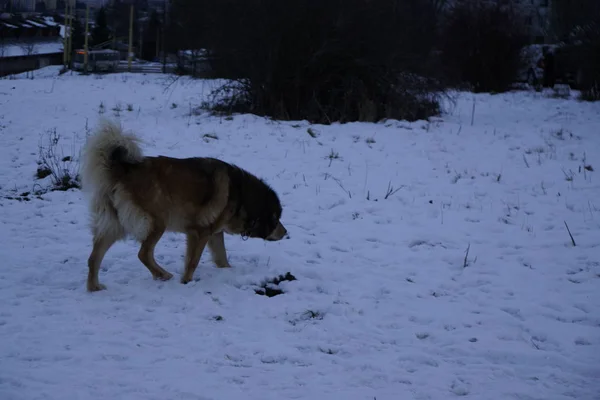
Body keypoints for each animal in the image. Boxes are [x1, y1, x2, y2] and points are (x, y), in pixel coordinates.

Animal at [80, 118, 288, 290]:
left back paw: (94, 287)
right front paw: (187, 281)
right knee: (143, 253)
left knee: (94, 257)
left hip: (115, 224)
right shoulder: (200, 232)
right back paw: (162, 274)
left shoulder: (214, 233)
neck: (242, 196)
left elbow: (222, 257)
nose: (286, 233)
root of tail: (122, 170)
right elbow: (193, 261)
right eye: (276, 218)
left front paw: (227, 271)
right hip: (157, 222)